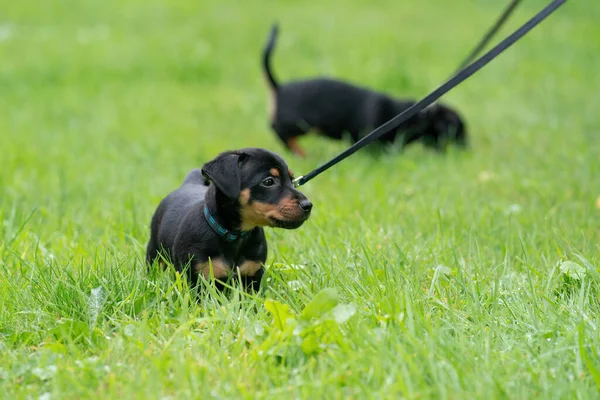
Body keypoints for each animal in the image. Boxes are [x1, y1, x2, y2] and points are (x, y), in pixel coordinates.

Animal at [147, 148, 312, 292]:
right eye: (268, 181)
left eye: (292, 180)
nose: (308, 205)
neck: (236, 236)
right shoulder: (196, 280)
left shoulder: (252, 277)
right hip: (155, 253)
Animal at [264, 21, 468, 156]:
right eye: (459, 131)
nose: (468, 149)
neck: (419, 115)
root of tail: (279, 88)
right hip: (300, 124)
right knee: (278, 131)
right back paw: (300, 152)